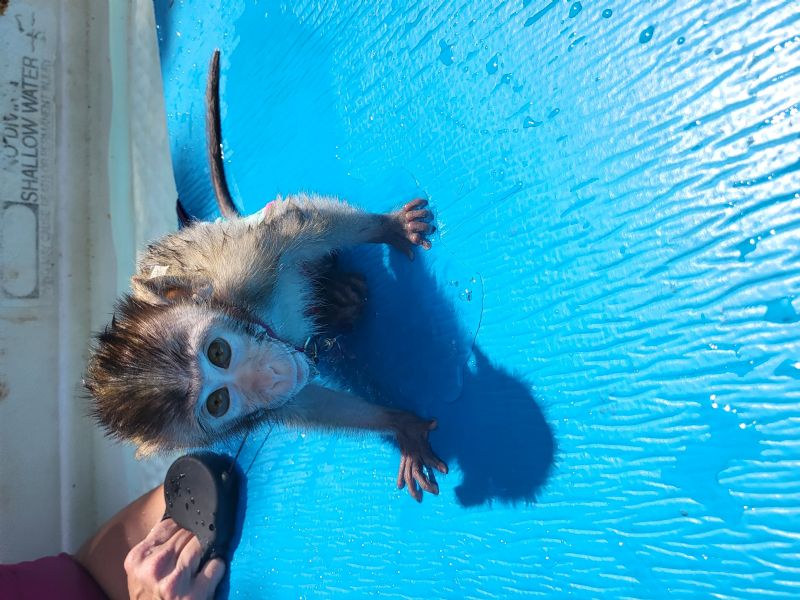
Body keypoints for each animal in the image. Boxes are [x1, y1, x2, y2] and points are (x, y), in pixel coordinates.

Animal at [84, 50, 447, 501]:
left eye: (218, 352)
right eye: (218, 403)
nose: (271, 375)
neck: (247, 314)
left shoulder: (244, 270)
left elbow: (294, 226)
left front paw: (388, 227)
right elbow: (306, 401)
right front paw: (399, 423)